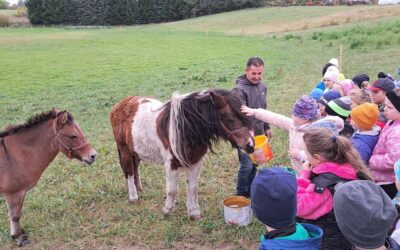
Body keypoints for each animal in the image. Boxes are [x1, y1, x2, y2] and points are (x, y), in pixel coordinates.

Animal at [0, 109, 97, 246]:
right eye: (72, 136)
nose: (93, 155)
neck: (13, 156)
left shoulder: (20, 193)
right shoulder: (13, 194)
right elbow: (15, 216)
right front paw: (18, 237)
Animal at [109, 89, 253, 220]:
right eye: (230, 119)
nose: (250, 145)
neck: (185, 128)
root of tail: (119, 105)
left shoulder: (195, 162)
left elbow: (192, 188)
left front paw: (194, 213)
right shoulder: (172, 164)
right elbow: (172, 190)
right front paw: (167, 210)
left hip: (135, 151)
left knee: (135, 167)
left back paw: (139, 188)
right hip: (124, 149)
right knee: (129, 171)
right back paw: (133, 197)